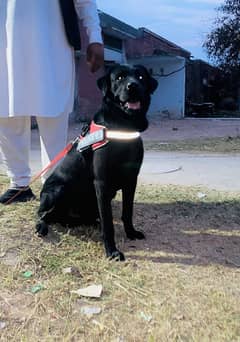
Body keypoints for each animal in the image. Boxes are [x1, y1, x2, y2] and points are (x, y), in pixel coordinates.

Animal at [35, 64, 158, 260]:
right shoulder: (102, 182)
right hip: (57, 189)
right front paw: (112, 251)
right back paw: (42, 226)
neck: (124, 126)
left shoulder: (131, 180)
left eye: (140, 77)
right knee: (42, 214)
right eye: (119, 78)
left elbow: (127, 212)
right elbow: (108, 224)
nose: (133, 86)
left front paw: (131, 233)